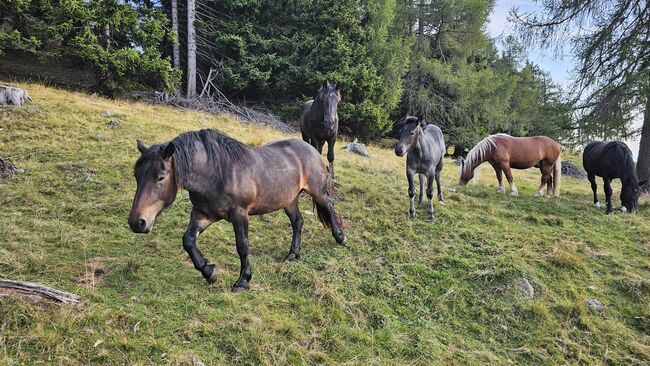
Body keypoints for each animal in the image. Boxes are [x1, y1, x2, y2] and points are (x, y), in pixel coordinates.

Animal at [128, 129, 346, 292]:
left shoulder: (239, 215)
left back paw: (340, 237)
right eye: (137, 175)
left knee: (329, 206)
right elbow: (188, 241)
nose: (137, 222)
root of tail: (312, 149)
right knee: (297, 222)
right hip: (289, 200)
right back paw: (293, 254)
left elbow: (242, 246)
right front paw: (209, 272)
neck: (216, 173)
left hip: (317, 191)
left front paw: (243, 281)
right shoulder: (203, 214)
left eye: (161, 177)